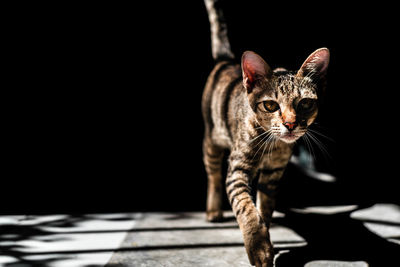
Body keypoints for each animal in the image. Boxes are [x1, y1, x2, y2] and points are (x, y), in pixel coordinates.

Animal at [202, 1, 330, 266]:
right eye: (270, 105)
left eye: (305, 103)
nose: (290, 124)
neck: (273, 145)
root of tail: (226, 62)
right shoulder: (238, 168)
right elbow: (246, 208)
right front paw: (259, 248)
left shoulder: (273, 173)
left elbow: (265, 209)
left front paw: (267, 237)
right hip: (211, 140)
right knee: (213, 175)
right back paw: (213, 210)